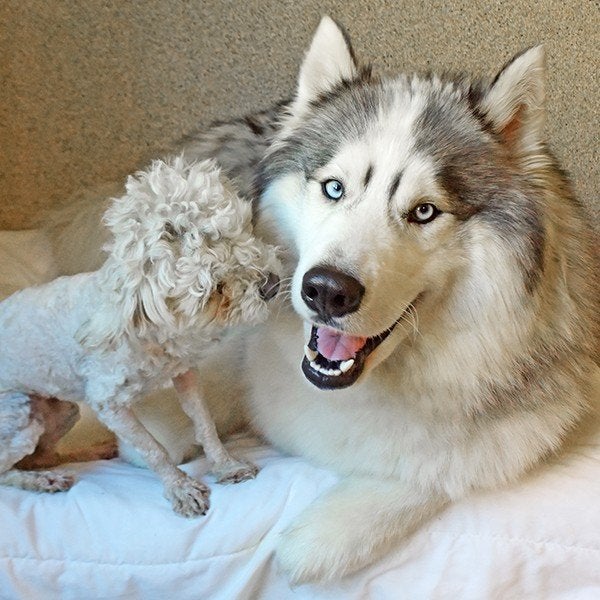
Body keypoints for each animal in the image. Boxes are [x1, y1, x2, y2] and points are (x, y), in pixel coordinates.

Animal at [0, 157, 280, 516]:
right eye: (216, 288)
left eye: (242, 233)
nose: (273, 284)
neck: (154, 333)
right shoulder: (109, 406)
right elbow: (153, 450)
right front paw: (181, 488)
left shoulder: (185, 373)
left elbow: (205, 425)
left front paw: (226, 465)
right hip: (20, 418)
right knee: (8, 469)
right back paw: (42, 481)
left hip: (62, 411)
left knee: (43, 456)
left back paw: (88, 454)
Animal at [54, 15, 596, 584]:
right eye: (334, 188)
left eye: (424, 211)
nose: (327, 291)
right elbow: (188, 405)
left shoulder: (517, 433)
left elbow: (431, 476)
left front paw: (314, 541)